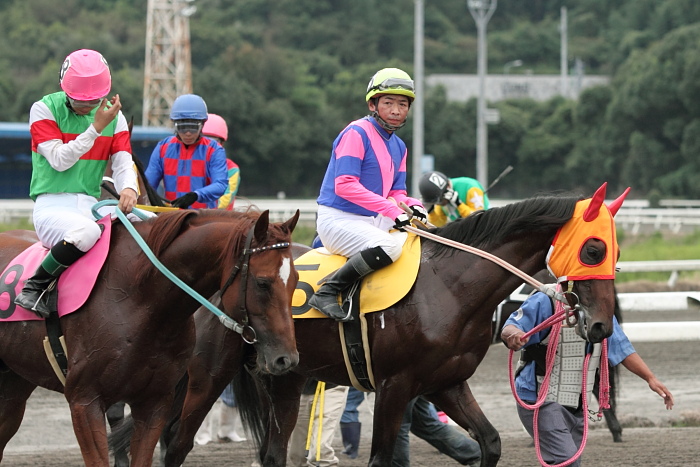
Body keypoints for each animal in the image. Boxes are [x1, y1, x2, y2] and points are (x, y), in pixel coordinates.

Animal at [0, 209, 298, 467]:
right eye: (262, 282)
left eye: (295, 280)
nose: (287, 359)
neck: (139, 299)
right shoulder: (84, 400)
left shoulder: (154, 403)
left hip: (15, 385)